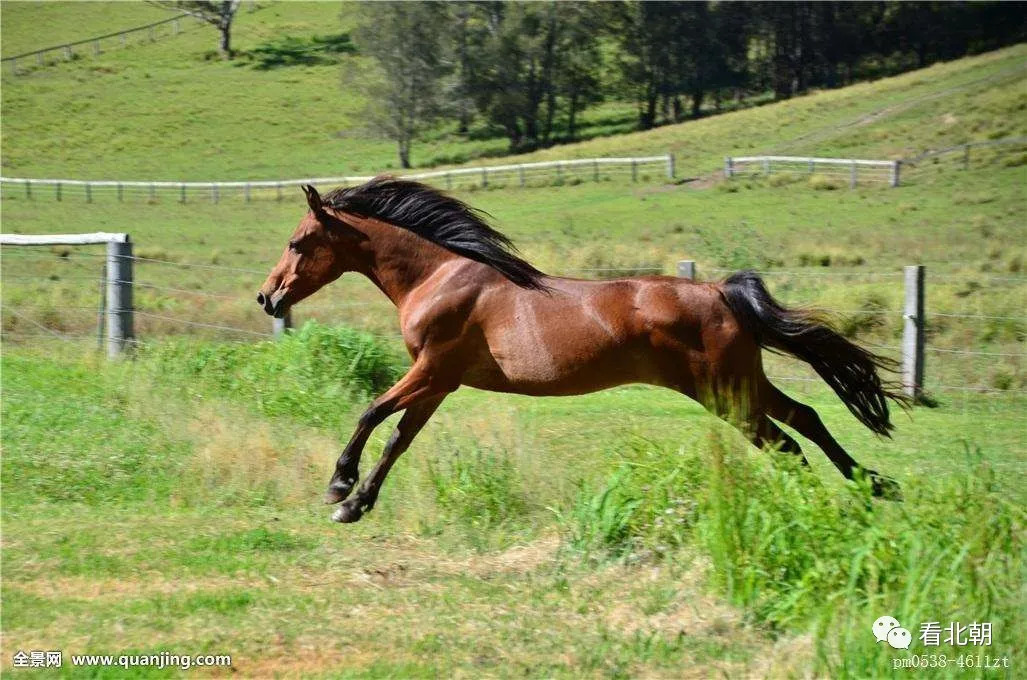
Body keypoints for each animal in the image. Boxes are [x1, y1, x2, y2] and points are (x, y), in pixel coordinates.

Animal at [258, 178, 907, 523]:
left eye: (297, 242)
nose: (267, 297)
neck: (438, 277)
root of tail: (723, 293)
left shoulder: (432, 368)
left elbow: (371, 412)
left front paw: (340, 486)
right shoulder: (440, 382)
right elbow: (399, 438)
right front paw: (357, 504)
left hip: (725, 392)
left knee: (787, 440)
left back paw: (837, 499)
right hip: (741, 384)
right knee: (805, 422)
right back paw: (871, 488)